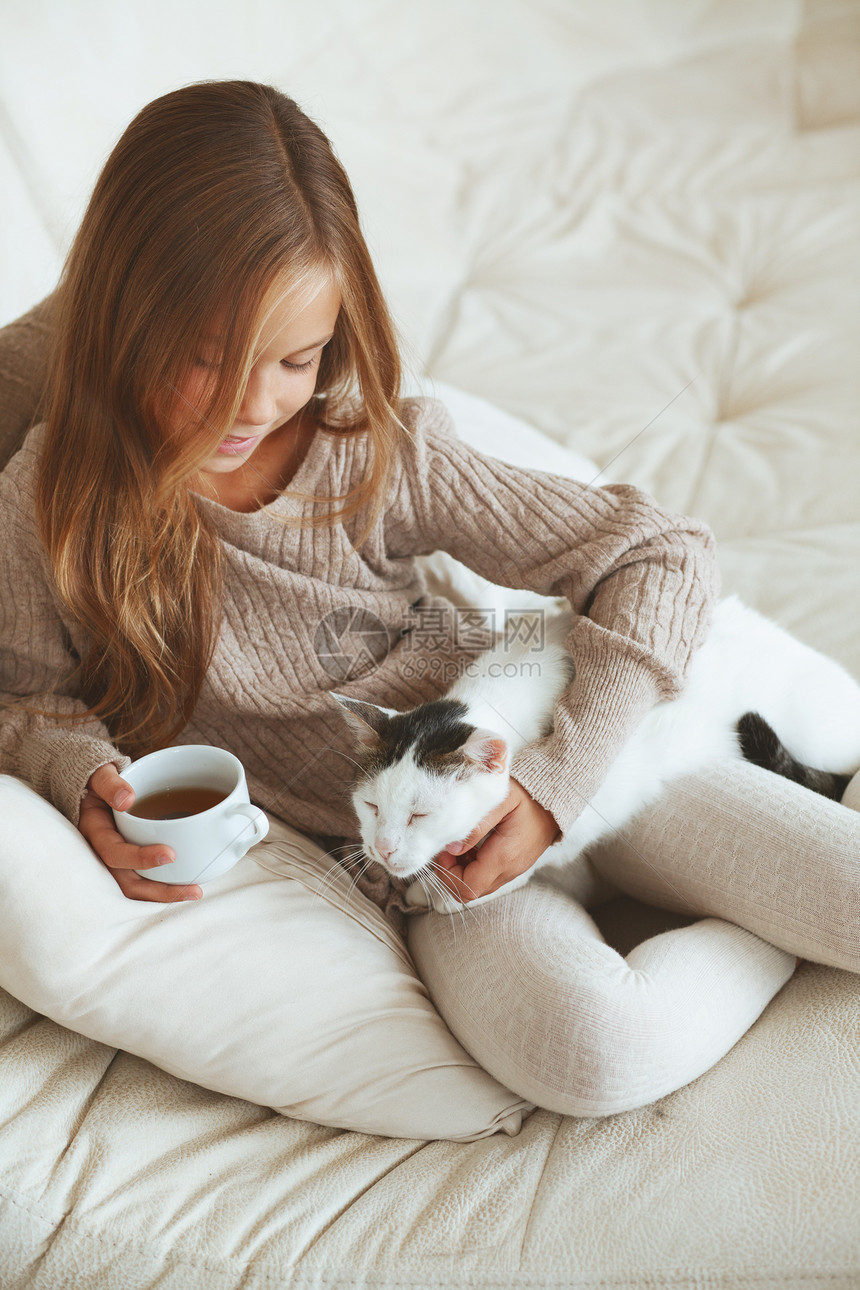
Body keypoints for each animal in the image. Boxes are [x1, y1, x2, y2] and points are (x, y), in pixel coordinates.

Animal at [332, 595, 860, 913]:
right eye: (371, 806)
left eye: (420, 814)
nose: (382, 849)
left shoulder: (594, 802)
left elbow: (529, 861)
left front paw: (443, 895)